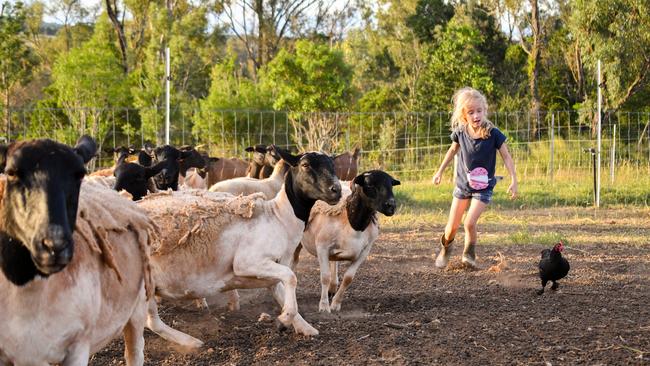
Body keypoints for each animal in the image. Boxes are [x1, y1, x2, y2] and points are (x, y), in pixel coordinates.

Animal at [135, 148, 340, 334]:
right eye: (305, 165)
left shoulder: (270, 274)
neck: (280, 219)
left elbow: (285, 290)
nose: (336, 190)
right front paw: (284, 319)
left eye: (333, 165)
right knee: (151, 321)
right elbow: (291, 277)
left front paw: (303, 327)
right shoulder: (248, 262)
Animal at [296, 171, 398, 312]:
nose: (391, 206)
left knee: (334, 263)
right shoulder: (322, 247)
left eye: (391, 185)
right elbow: (325, 277)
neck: (353, 223)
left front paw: (335, 304)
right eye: (370, 184)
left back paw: (333, 287)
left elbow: (348, 278)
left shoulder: (364, 252)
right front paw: (324, 306)